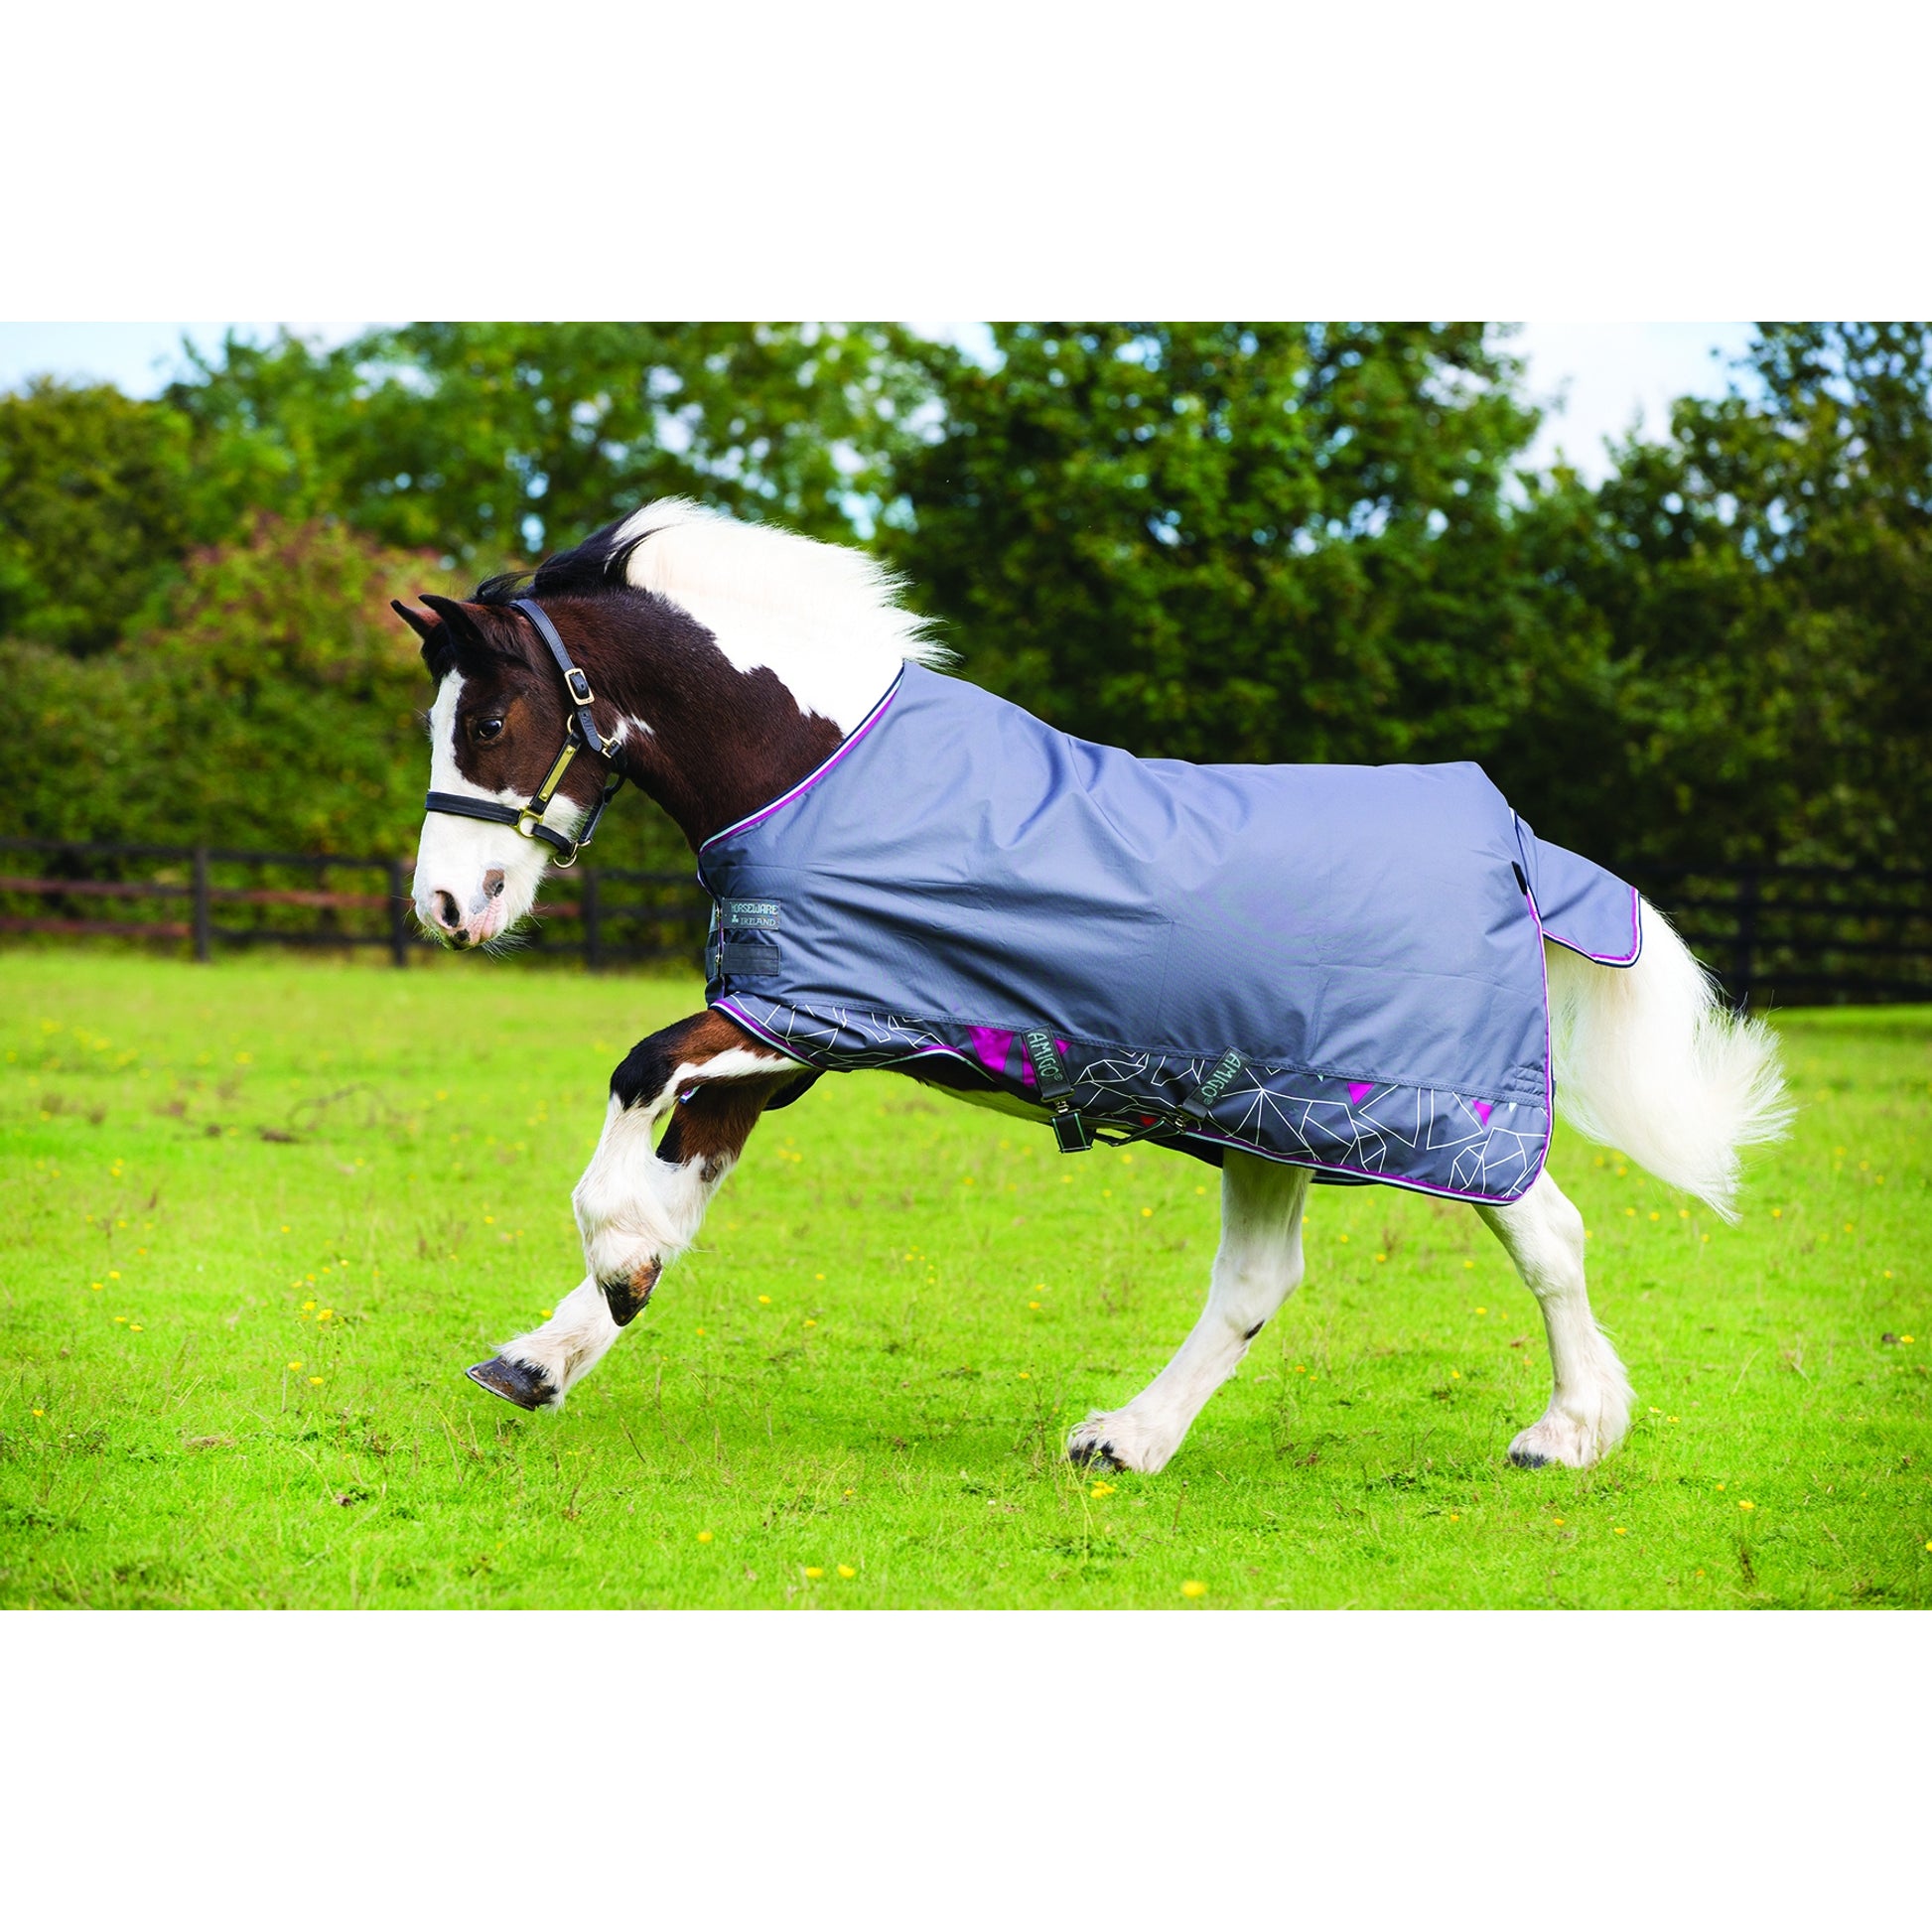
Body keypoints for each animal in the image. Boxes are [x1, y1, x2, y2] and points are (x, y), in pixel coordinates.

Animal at [395, 498, 1791, 1474]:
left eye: (490, 723)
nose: (447, 908)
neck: (816, 761)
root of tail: (1512, 843)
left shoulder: (813, 1018)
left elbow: (634, 1077)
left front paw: (609, 1259)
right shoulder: (780, 1037)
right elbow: (680, 1186)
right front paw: (548, 1352)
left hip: (1421, 1114)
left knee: (1544, 1233)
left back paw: (1564, 1431)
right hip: (1276, 1122)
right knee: (1258, 1285)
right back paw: (1130, 1438)